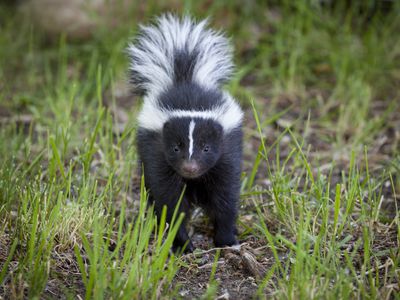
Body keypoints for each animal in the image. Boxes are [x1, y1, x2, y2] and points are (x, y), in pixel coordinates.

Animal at [127, 15, 244, 252]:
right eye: (175, 147)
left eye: (206, 148)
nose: (190, 167)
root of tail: (184, 78)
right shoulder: (157, 155)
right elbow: (170, 201)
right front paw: (181, 243)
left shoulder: (227, 155)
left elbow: (225, 197)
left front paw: (226, 239)